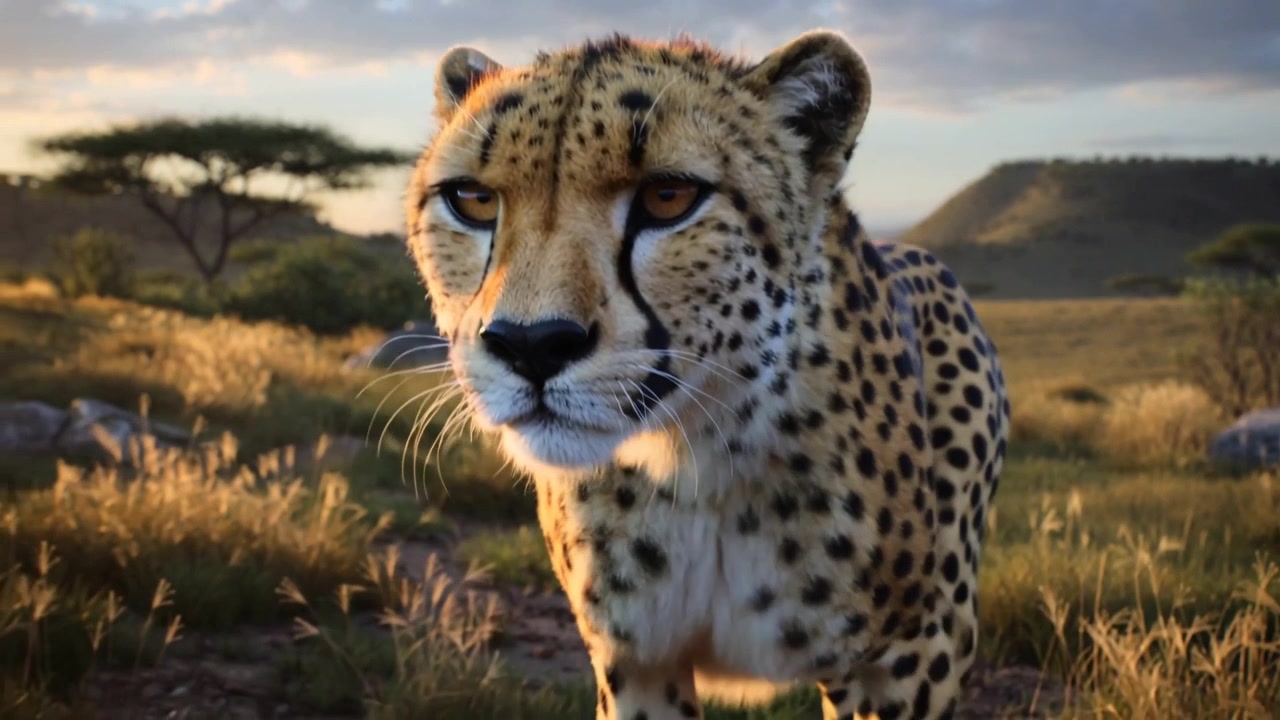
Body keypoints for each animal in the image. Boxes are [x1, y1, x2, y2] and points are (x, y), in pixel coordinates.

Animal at [403, 28, 1010, 720]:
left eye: (669, 197)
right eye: (473, 200)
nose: (530, 344)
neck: (697, 457)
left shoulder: (907, 660)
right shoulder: (640, 661)